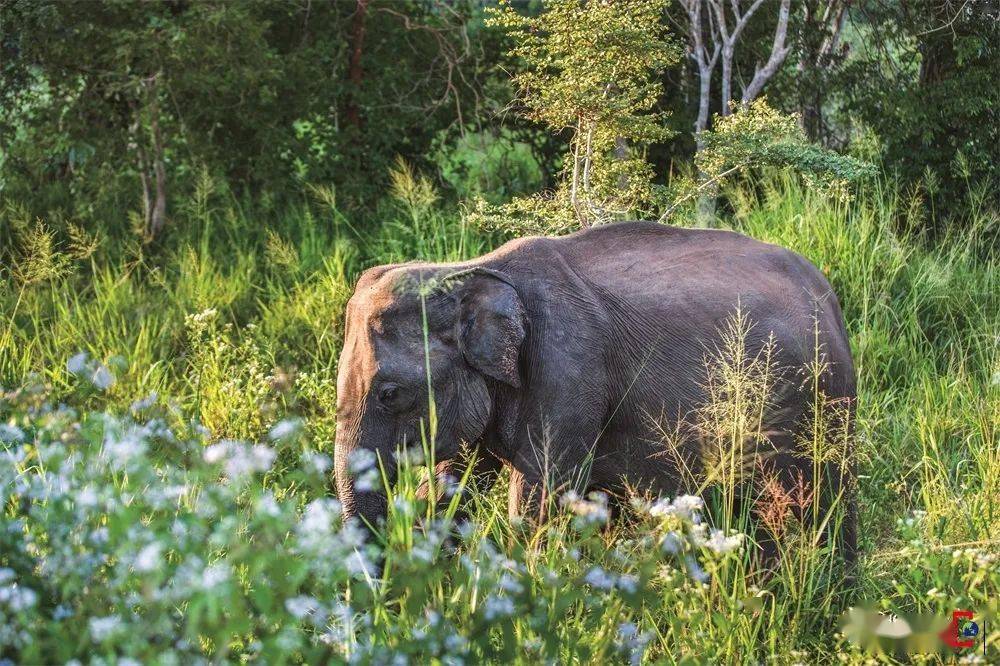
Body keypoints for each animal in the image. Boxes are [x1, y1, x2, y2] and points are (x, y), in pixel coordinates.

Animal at [332, 219, 856, 560]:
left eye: (390, 393)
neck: (468, 271)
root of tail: (828, 294)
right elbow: (449, 487)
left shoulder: (567, 371)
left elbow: (539, 501)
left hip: (827, 397)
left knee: (825, 496)